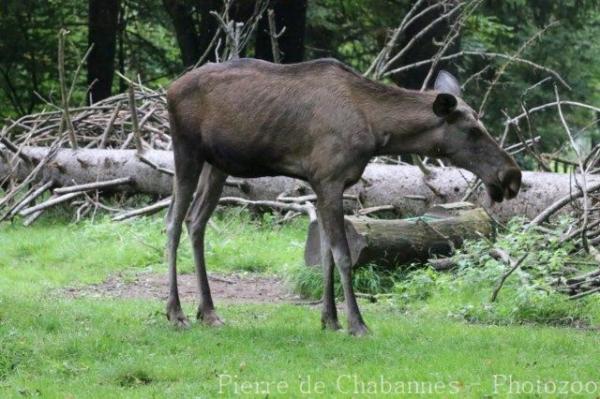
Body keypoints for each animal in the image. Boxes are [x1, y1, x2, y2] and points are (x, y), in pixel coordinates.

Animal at [164, 57, 520, 336]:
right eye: (472, 130)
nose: (511, 176)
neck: (377, 131)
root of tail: (169, 89)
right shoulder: (330, 180)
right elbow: (343, 255)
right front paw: (357, 323)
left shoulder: (322, 185)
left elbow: (324, 255)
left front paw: (330, 320)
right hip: (186, 151)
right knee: (172, 223)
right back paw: (176, 312)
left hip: (217, 165)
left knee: (196, 222)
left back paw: (208, 312)